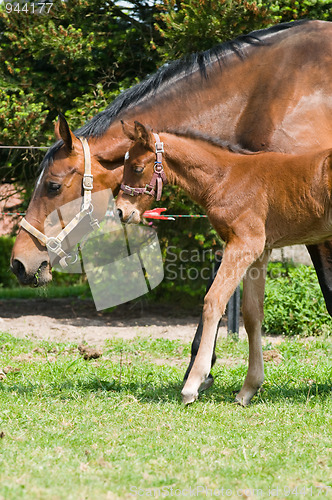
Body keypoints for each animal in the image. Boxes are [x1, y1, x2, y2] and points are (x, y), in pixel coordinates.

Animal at [115, 122, 332, 406]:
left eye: (138, 167)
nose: (120, 211)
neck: (225, 178)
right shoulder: (260, 252)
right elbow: (251, 314)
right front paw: (248, 389)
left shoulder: (244, 244)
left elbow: (213, 301)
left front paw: (193, 384)